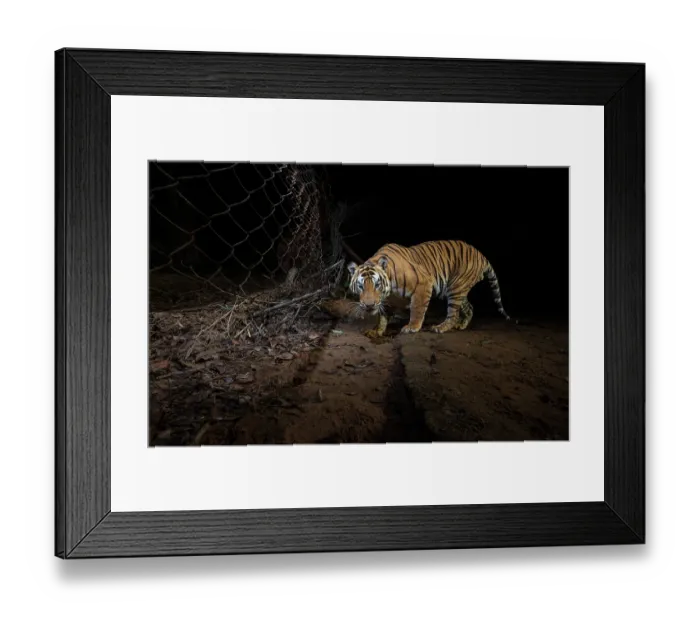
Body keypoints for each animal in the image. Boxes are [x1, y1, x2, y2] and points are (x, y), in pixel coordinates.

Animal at [347, 240, 513, 338]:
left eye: (377, 284)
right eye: (361, 286)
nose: (369, 305)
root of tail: (481, 254)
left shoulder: (424, 284)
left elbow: (417, 308)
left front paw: (412, 327)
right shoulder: (385, 300)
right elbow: (382, 315)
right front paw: (377, 331)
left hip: (455, 288)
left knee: (453, 313)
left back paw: (441, 327)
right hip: (458, 289)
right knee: (469, 307)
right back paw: (461, 325)